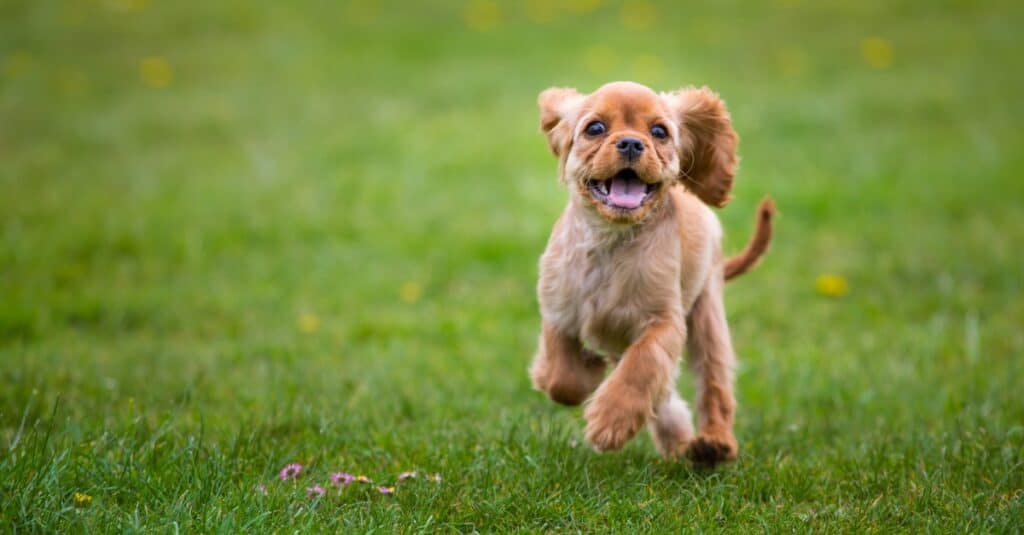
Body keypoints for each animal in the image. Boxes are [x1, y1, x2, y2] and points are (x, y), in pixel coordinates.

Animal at [528, 78, 774, 461]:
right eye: (594, 128)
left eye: (659, 131)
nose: (631, 142)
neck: (611, 240)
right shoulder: (558, 308)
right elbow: (559, 375)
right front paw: (588, 372)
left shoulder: (664, 321)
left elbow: (642, 366)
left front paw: (611, 421)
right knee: (665, 395)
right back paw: (679, 441)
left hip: (708, 314)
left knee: (713, 385)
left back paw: (713, 444)